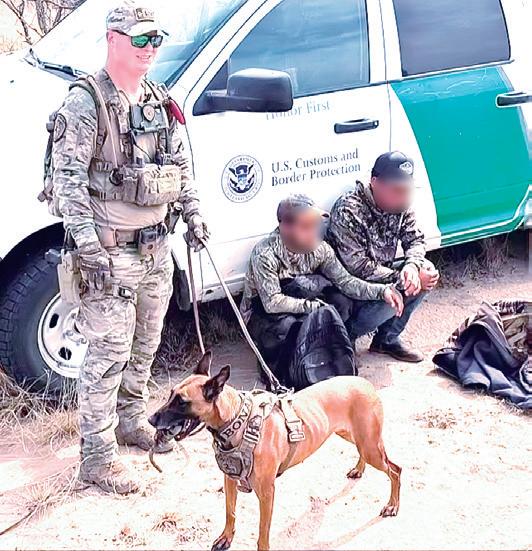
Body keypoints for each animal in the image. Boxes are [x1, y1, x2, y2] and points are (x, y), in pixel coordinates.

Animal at [149, 351, 401, 551]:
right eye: (170, 394)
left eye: (182, 402)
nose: (151, 419)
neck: (237, 422)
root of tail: (364, 383)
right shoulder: (229, 480)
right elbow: (230, 512)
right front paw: (226, 538)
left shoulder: (267, 492)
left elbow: (262, 531)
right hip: (354, 437)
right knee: (368, 456)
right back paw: (359, 469)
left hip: (369, 445)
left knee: (395, 470)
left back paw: (392, 505)